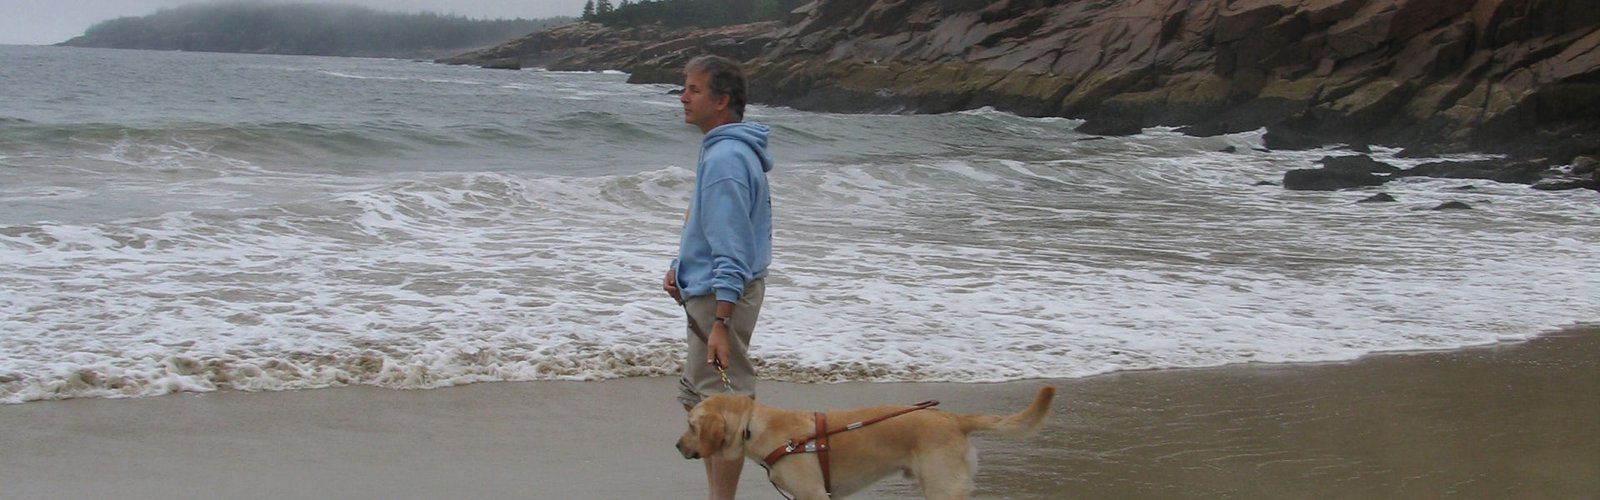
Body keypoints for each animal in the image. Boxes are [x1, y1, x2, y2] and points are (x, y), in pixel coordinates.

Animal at [678, 386, 1062, 500]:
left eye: (691, 425)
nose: (677, 447)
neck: (757, 427)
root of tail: (953, 418)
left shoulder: (814, 495)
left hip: (943, 488)